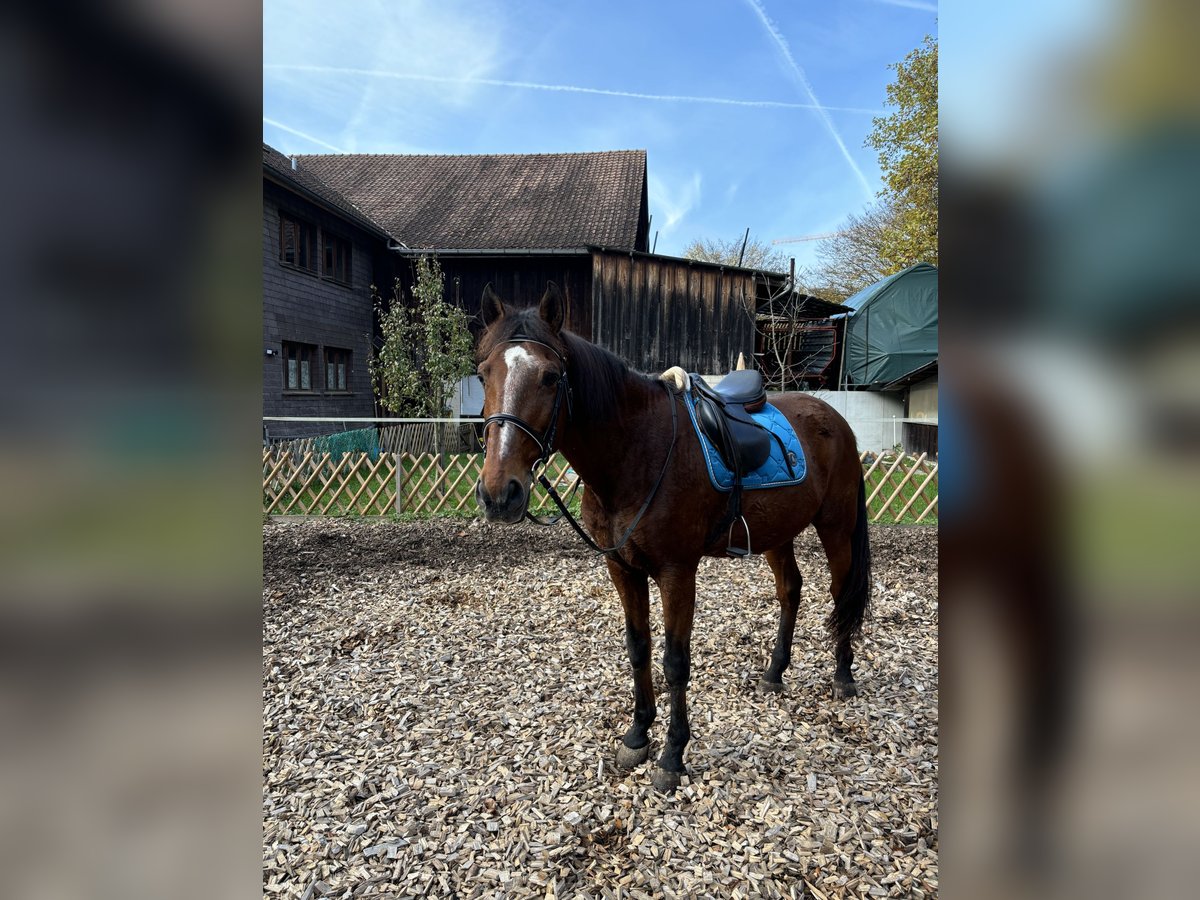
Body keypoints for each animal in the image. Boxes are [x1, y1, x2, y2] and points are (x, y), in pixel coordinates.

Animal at [470, 283, 873, 796]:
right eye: (483, 373)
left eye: (549, 377)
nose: (499, 494)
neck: (635, 449)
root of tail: (833, 418)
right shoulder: (622, 568)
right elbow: (638, 648)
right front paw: (638, 735)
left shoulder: (676, 572)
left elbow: (675, 662)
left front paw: (671, 755)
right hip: (777, 532)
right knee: (791, 590)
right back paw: (774, 672)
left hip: (836, 526)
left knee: (841, 594)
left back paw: (843, 676)